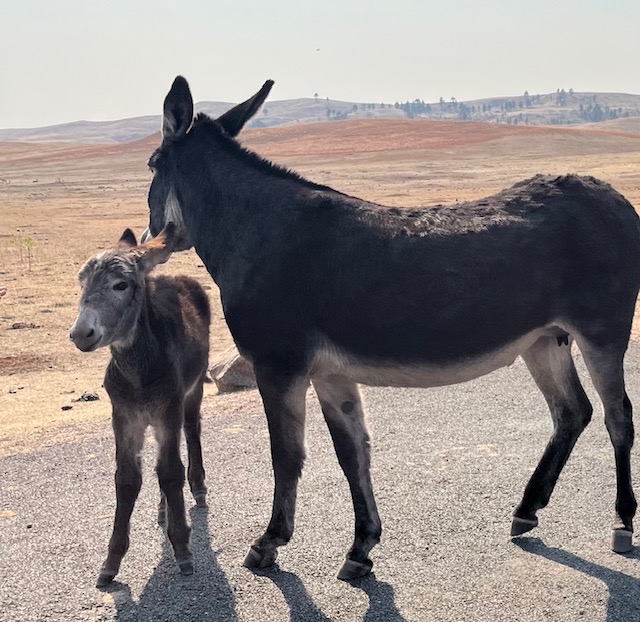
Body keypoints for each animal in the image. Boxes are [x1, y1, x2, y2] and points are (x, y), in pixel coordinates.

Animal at [69, 225, 210, 588]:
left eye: (121, 285)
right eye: (82, 283)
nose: (80, 333)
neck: (137, 372)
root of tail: (173, 276)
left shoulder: (168, 410)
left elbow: (171, 472)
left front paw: (183, 550)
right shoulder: (124, 417)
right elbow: (127, 479)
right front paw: (111, 562)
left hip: (193, 391)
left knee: (192, 430)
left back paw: (198, 489)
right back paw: (163, 511)